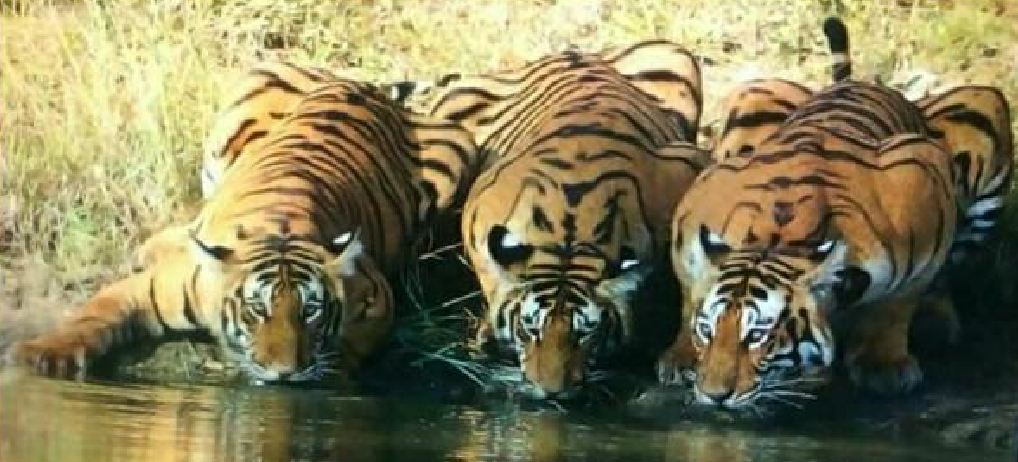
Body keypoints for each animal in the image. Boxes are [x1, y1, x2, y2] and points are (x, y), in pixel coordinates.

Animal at [10, 63, 481, 382]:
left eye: (310, 311)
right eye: (257, 309)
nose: (284, 372)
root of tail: (366, 86)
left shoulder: (375, 295)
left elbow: (351, 344)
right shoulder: (145, 290)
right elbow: (90, 317)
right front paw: (41, 355)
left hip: (459, 153)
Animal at [400, 41, 708, 399]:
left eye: (585, 333)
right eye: (529, 328)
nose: (551, 392)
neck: (571, 233)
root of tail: (573, 52)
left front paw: (682, 359)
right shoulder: (481, 203)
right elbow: (491, 272)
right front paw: (489, 330)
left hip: (674, 56)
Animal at [657, 17, 1013, 410]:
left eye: (757, 336)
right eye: (707, 331)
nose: (713, 395)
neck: (777, 238)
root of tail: (859, 83)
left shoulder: (923, 183)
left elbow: (903, 298)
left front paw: (883, 363)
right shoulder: (697, 204)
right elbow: (690, 291)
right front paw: (682, 357)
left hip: (984, 103)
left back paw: (934, 321)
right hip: (753, 96)